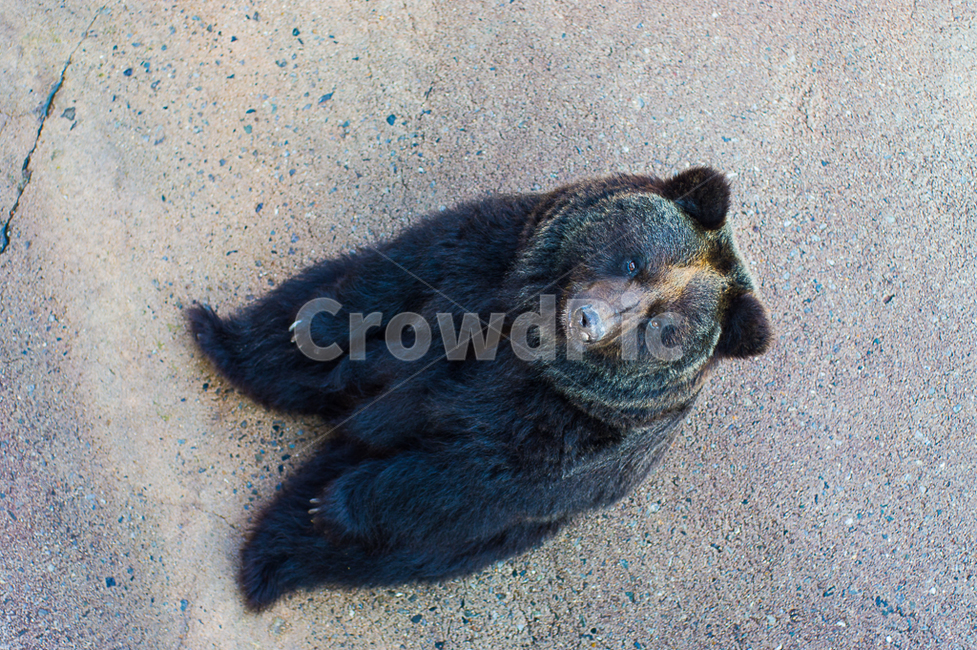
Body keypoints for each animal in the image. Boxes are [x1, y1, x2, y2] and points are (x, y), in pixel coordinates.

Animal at [187, 167, 771, 611]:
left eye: (661, 324)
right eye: (633, 261)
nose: (588, 319)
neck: (529, 332)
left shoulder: (566, 428)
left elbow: (470, 472)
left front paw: (331, 507)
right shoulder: (488, 255)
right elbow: (389, 279)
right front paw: (312, 329)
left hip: (477, 535)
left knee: (361, 542)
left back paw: (278, 552)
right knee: (297, 321)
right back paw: (222, 340)